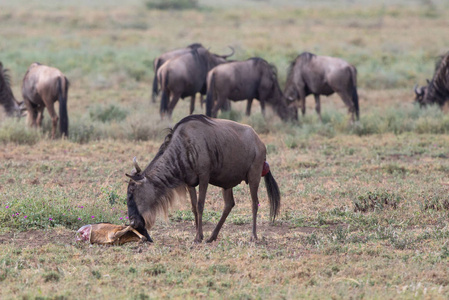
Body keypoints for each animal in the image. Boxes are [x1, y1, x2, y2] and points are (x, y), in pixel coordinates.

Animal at [126, 113, 278, 243]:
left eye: (132, 190)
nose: (133, 222)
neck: (183, 145)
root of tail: (260, 142)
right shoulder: (190, 182)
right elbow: (193, 207)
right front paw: (198, 235)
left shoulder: (204, 177)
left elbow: (200, 205)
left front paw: (198, 237)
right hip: (227, 184)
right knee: (229, 204)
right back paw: (212, 237)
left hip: (254, 176)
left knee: (254, 203)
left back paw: (253, 236)